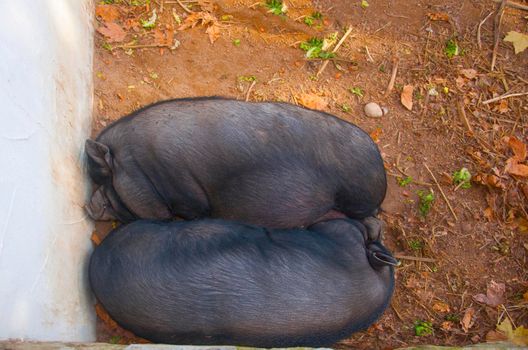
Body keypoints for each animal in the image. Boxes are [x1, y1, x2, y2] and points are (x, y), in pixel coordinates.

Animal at [84, 96, 386, 227]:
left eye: (106, 180)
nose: (88, 206)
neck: (143, 167)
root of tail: (381, 171)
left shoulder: (186, 194)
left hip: (355, 197)